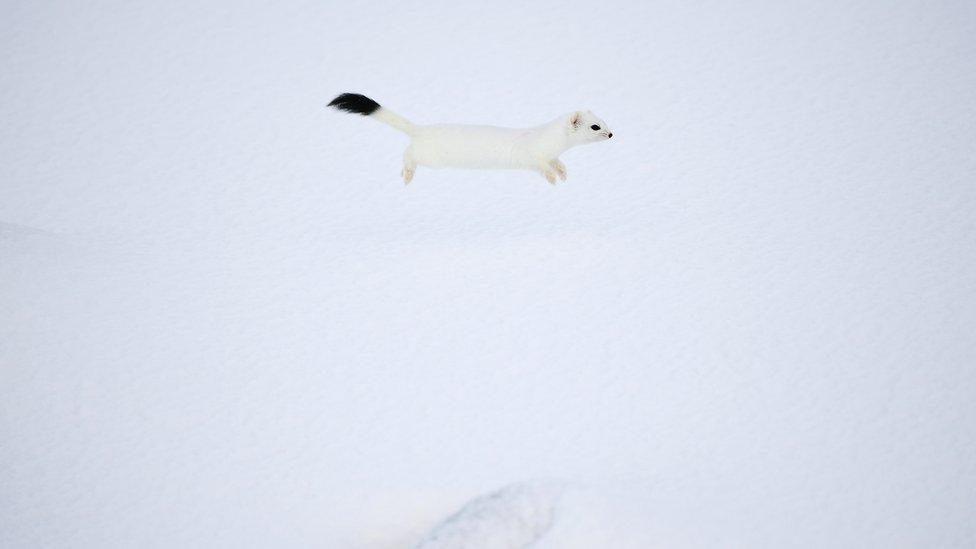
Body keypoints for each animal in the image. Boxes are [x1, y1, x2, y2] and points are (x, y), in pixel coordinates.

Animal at [332, 91, 612, 183]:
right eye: (595, 126)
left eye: (604, 120)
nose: (612, 133)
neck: (549, 142)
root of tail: (421, 129)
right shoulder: (529, 156)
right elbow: (540, 167)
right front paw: (552, 179)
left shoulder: (551, 155)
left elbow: (557, 163)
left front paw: (562, 173)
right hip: (430, 156)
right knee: (408, 154)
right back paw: (408, 175)